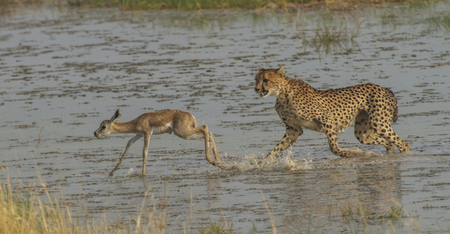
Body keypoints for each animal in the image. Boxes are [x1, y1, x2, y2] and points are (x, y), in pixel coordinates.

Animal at [255, 66, 410, 160]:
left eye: (266, 80)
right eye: (256, 79)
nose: (256, 89)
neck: (282, 93)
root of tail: (384, 88)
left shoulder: (327, 120)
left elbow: (334, 148)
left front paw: (354, 153)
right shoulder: (293, 129)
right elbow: (276, 149)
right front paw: (263, 162)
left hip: (379, 123)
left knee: (403, 143)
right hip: (362, 133)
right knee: (388, 143)